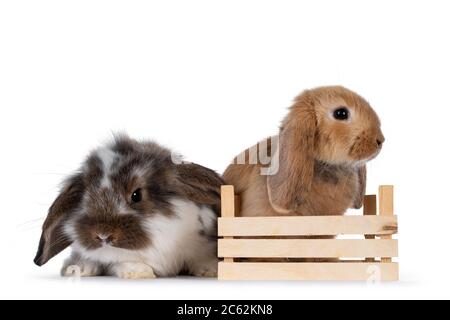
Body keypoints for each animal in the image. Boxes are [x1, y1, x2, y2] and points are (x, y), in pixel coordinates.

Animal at [34, 135, 224, 278]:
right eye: (83, 197)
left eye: (136, 195)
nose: (103, 235)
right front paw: (139, 273)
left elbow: (201, 257)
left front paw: (212, 270)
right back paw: (78, 269)